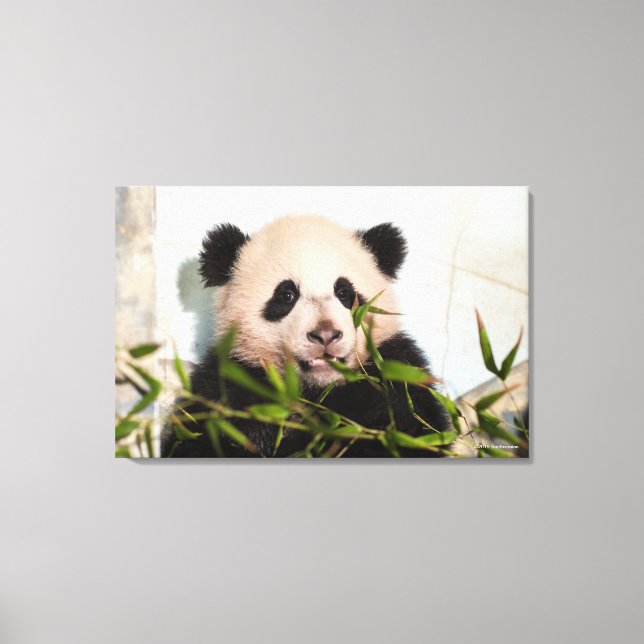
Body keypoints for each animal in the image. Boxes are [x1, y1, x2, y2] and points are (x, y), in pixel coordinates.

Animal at [161, 215, 450, 457]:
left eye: (344, 293)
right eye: (287, 295)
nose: (325, 335)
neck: (314, 391)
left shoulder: (394, 369)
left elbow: (411, 428)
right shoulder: (231, 381)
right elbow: (198, 439)